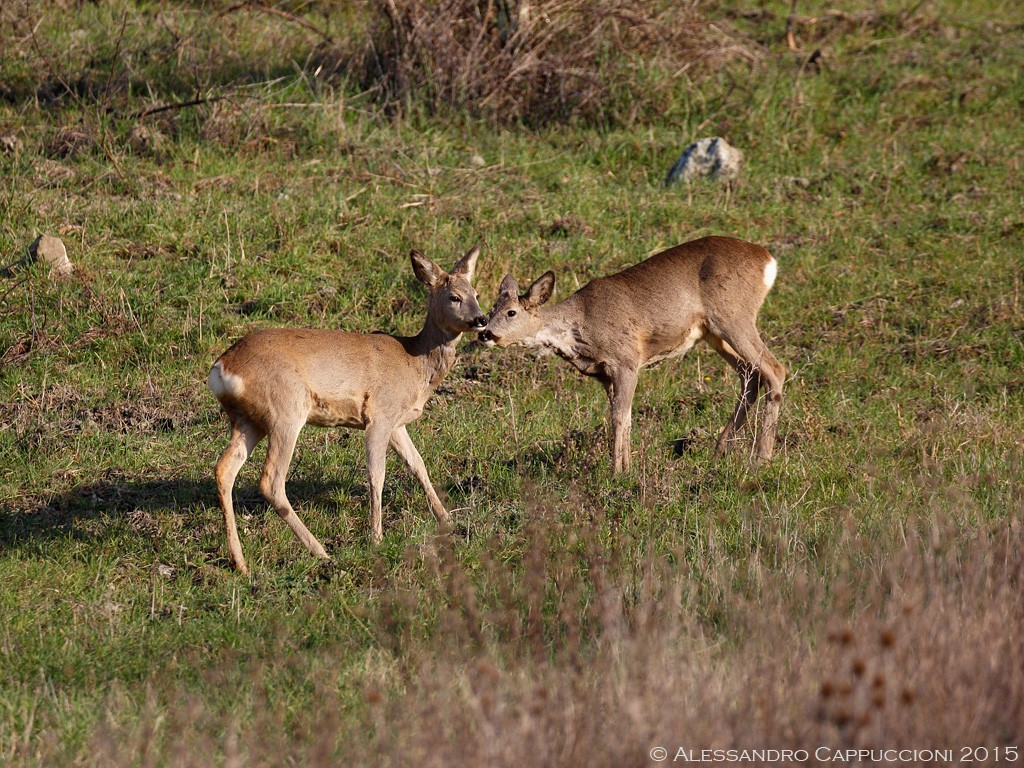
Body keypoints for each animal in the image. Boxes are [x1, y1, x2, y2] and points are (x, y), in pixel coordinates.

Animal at [207, 246, 487, 577]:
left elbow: (419, 465)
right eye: (454, 296)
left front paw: (446, 518)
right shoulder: (379, 415)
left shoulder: (396, 424)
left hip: (247, 420)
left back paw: (240, 562)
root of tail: (222, 368)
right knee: (270, 481)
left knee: (224, 469)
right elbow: (376, 474)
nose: (481, 319)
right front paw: (377, 538)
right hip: (285, 410)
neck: (414, 365)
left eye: (476, 293)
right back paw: (320, 550)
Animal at [479, 237, 782, 473]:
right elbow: (624, 418)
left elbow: (619, 417)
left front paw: (617, 472)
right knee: (750, 375)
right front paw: (627, 466)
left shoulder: (626, 360)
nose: (485, 333)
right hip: (712, 333)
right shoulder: (604, 375)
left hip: (733, 316)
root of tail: (768, 260)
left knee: (774, 369)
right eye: (491, 309)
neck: (581, 327)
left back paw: (761, 458)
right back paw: (720, 451)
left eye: (511, 312)